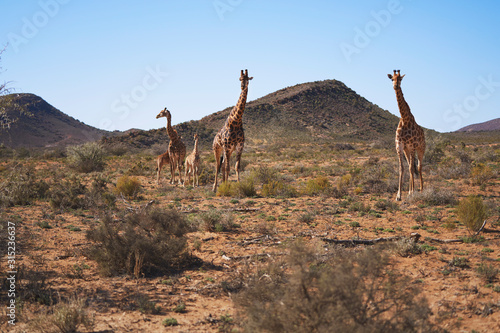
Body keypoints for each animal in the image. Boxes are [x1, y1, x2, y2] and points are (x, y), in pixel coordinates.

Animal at [388, 69, 424, 200]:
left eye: (400, 79)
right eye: (392, 79)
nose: (395, 86)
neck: (404, 119)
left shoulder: (412, 145)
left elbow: (411, 168)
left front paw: (411, 192)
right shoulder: (400, 146)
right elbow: (402, 168)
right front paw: (399, 195)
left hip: (420, 149)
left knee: (418, 166)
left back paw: (421, 189)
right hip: (407, 150)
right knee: (411, 166)